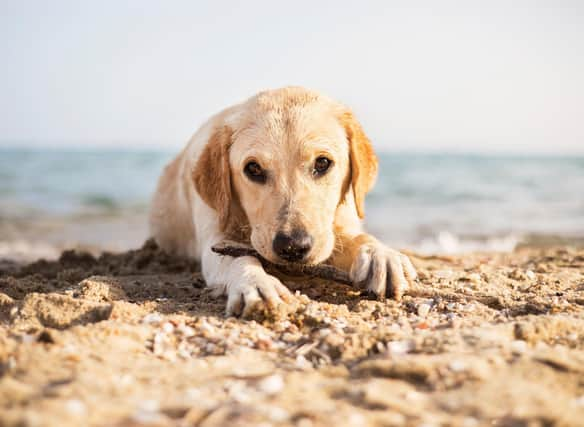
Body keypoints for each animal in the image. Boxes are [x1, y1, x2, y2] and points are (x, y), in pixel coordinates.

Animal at [149, 87, 416, 318]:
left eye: (322, 163)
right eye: (253, 168)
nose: (292, 246)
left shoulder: (340, 224)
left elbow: (359, 237)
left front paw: (380, 255)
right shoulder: (214, 239)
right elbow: (239, 257)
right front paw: (256, 283)